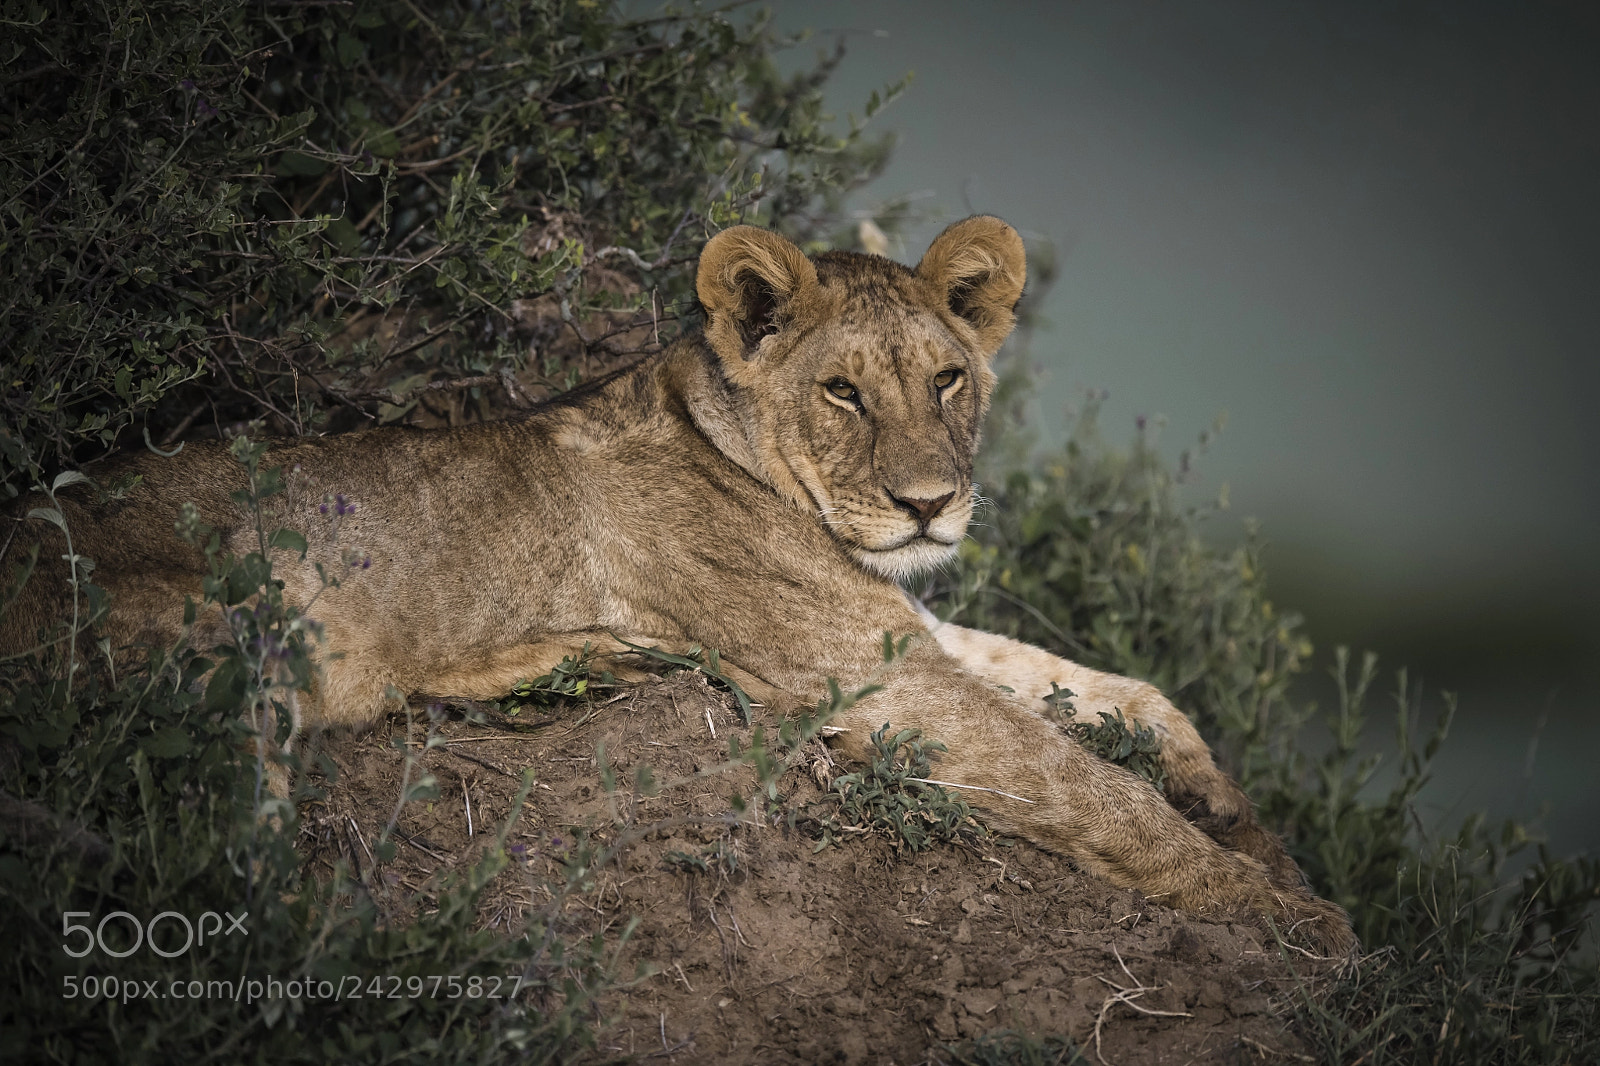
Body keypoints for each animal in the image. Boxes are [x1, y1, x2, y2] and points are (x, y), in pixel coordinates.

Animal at [1, 216, 1355, 954]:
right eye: (843, 391)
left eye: (948, 379)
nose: (929, 503)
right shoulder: (866, 679)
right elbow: (1085, 782)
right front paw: (1292, 920)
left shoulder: (898, 628)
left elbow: (1113, 690)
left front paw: (1224, 798)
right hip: (242, 626)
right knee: (210, 863)